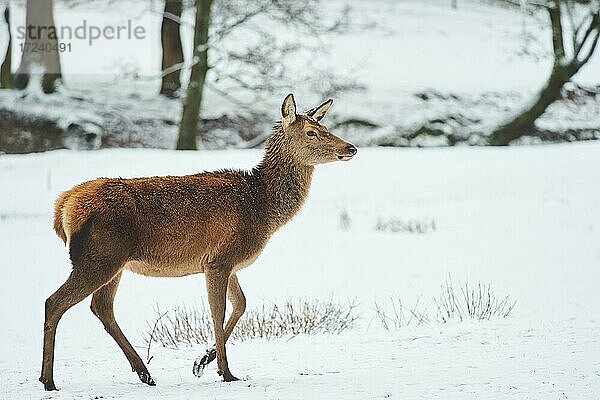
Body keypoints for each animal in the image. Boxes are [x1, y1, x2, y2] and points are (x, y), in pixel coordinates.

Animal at [41, 94, 356, 390]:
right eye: (311, 132)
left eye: (325, 127)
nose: (350, 148)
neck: (262, 208)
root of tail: (63, 206)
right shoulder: (221, 259)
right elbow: (218, 311)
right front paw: (226, 372)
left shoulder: (224, 262)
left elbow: (241, 303)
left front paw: (202, 361)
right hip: (99, 256)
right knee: (54, 301)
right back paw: (49, 379)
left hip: (114, 262)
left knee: (101, 307)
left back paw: (144, 373)